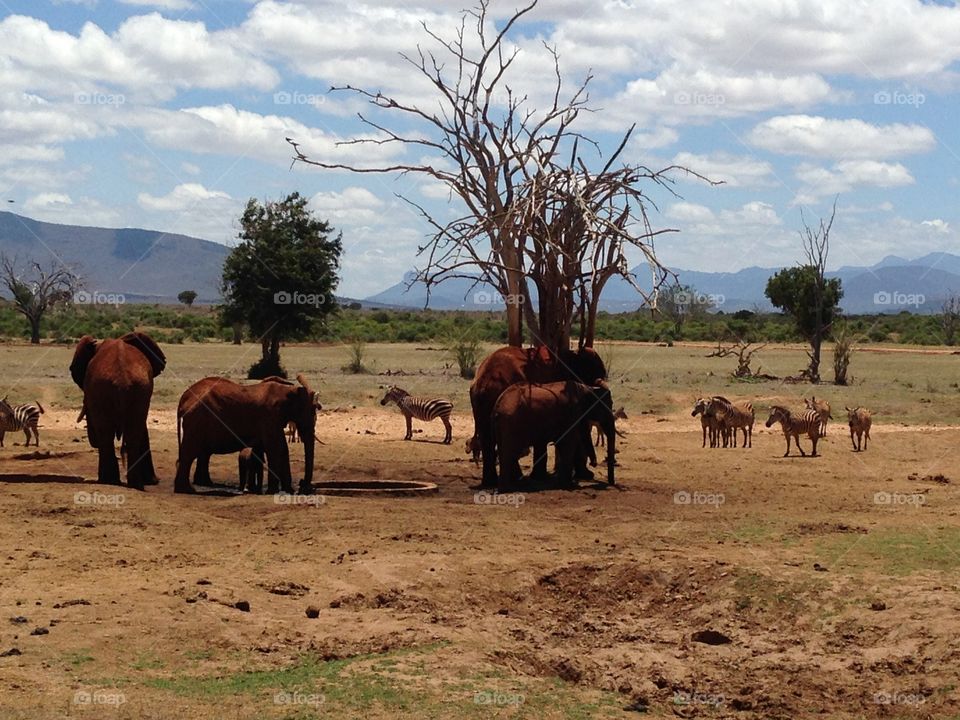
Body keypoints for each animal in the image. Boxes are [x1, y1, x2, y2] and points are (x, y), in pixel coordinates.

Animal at [69, 332, 166, 489]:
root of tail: (122, 379)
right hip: (135, 389)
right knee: (130, 434)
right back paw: (132, 484)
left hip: (108, 389)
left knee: (108, 434)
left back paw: (109, 481)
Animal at [175, 374, 319, 494]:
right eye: (312, 410)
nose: (303, 485)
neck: (288, 389)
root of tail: (183, 398)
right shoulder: (269, 416)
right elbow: (275, 447)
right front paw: (272, 491)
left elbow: (282, 448)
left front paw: (288, 490)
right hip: (197, 420)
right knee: (189, 453)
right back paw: (187, 490)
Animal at [470, 345, 607, 487]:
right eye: (592, 375)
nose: (594, 464)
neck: (570, 355)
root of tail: (484, 381)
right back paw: (517, 479)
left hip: (479, 401)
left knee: (489, 439)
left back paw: (492, 482)